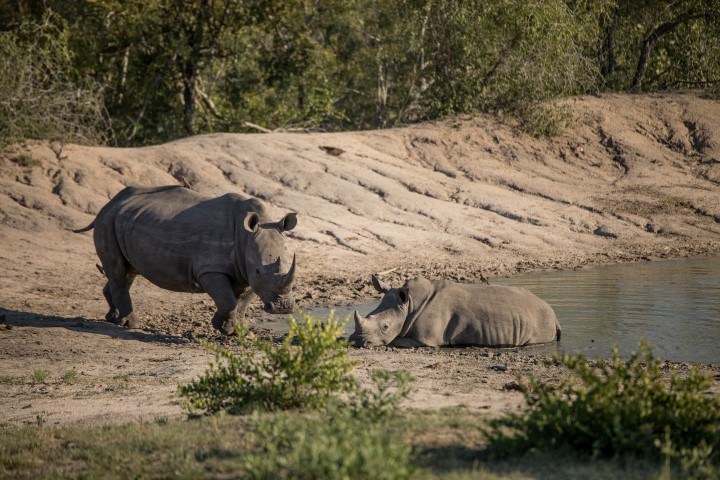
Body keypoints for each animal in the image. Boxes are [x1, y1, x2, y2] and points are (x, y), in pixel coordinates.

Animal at [74, 185, 298, 334]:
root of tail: (111, 202)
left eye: (287, 266)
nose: (283, 308)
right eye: (259, 270)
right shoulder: (211, 269)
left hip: (123, 220)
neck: (246, 237)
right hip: (107, 221)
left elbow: (241, 301)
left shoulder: (245, 270)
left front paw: (236, 330)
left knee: (127, 272)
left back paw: (113, 319)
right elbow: (228, 301)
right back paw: (130, 325)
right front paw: (221, 327)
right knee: (119, 271)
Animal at [348, 276, 564, 346]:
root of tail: (554, 314)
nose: (357, 341)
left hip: (540, 320)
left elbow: (396, 341)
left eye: (385, 327)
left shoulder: (427, 340)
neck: (410, 306)